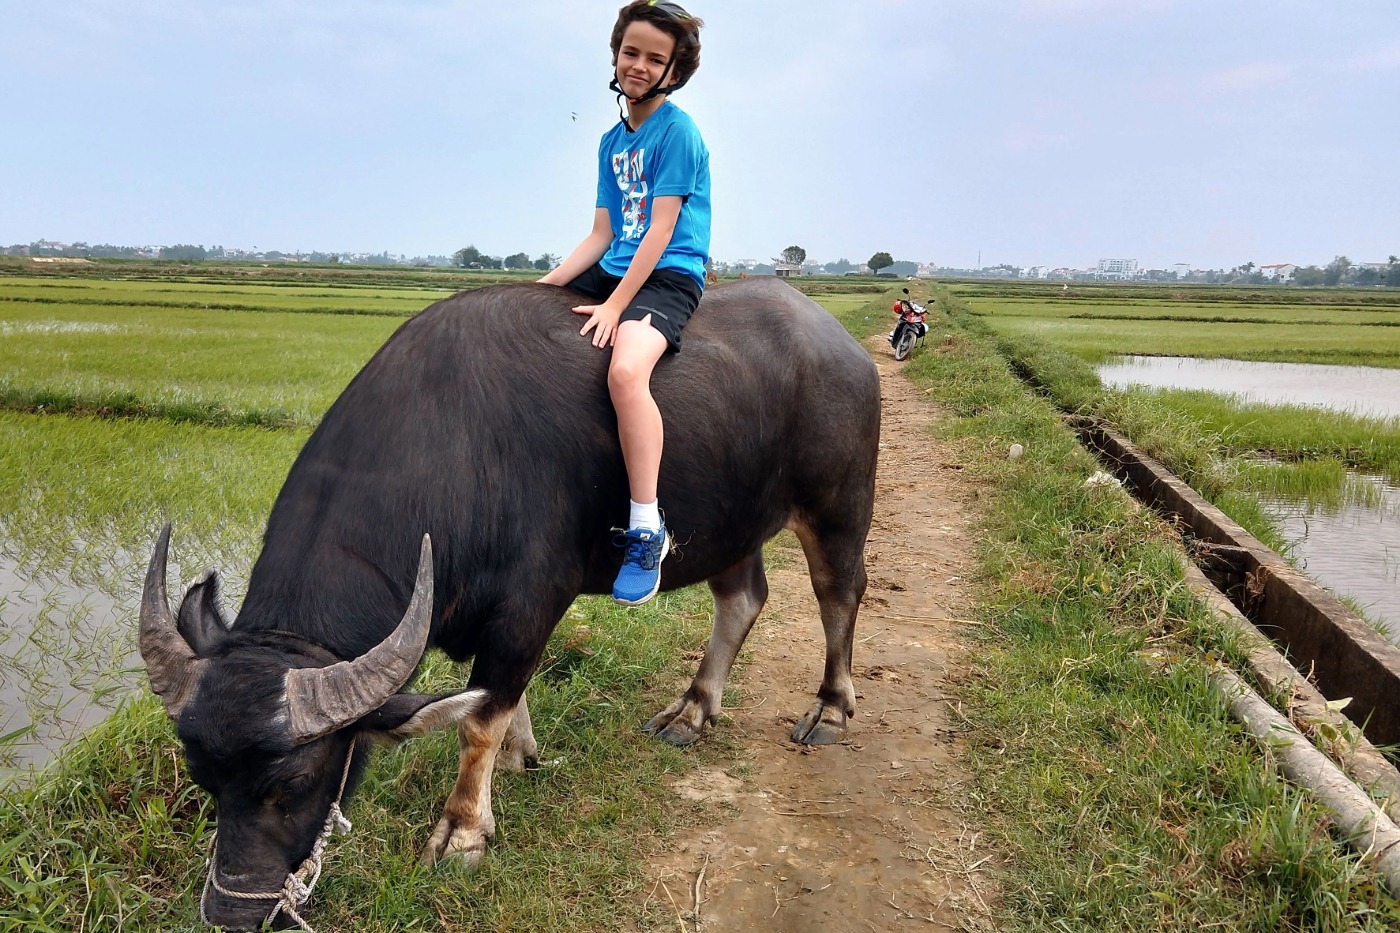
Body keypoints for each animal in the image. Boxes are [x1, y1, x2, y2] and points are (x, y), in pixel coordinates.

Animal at [139, 274, 873, 924]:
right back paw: (692, 711)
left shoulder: (530, 604)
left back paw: (831, 709)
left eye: (291, 783)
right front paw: (522, 757)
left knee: (840, 592)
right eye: (202, 778)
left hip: (838, 502)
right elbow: (498, 698)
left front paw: (462, 833)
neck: (455, 448)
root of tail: (844, 344)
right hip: (732, 523)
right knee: (743, 598)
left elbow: (480, 717)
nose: (232, 909)